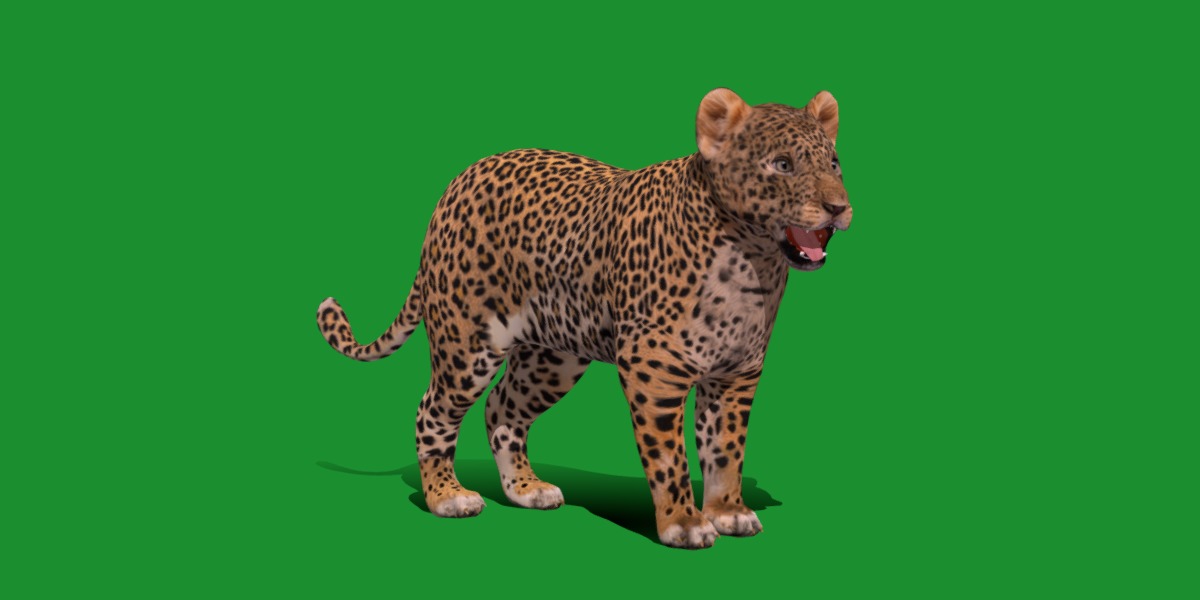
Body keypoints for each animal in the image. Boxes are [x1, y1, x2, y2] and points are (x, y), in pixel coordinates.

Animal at [316, 88, 852, 548]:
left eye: (834, 163)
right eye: (782, 165)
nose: (839, 207)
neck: (750, 261)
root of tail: (458, 183)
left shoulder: (736, 374)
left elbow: (725, 450)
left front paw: (728, 512)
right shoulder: (653, 370)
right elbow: (670, 458)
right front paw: (684, 523)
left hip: (551, 359)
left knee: (502, 409)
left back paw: (526, 489)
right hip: (466, 345)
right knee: (432, 411)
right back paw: (448, 496)